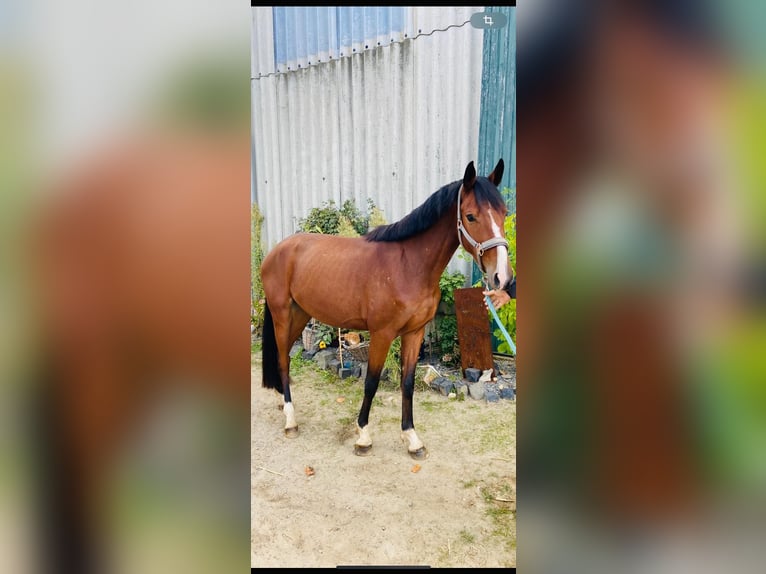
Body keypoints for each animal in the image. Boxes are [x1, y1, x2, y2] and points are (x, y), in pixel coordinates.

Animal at [260, 160, 512, 462]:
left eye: (504, 213)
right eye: (471, 216)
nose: (501, 277)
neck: (408, 266)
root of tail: (276, 251)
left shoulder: (414, 333)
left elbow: (408, 383)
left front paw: (412, 439)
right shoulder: (382, 334)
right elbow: (371, 382)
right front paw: (363, 437)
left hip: (300, 314)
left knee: (283, 356)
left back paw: (282, 403)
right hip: (282, 314)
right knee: (283, 361)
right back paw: (290, 420)